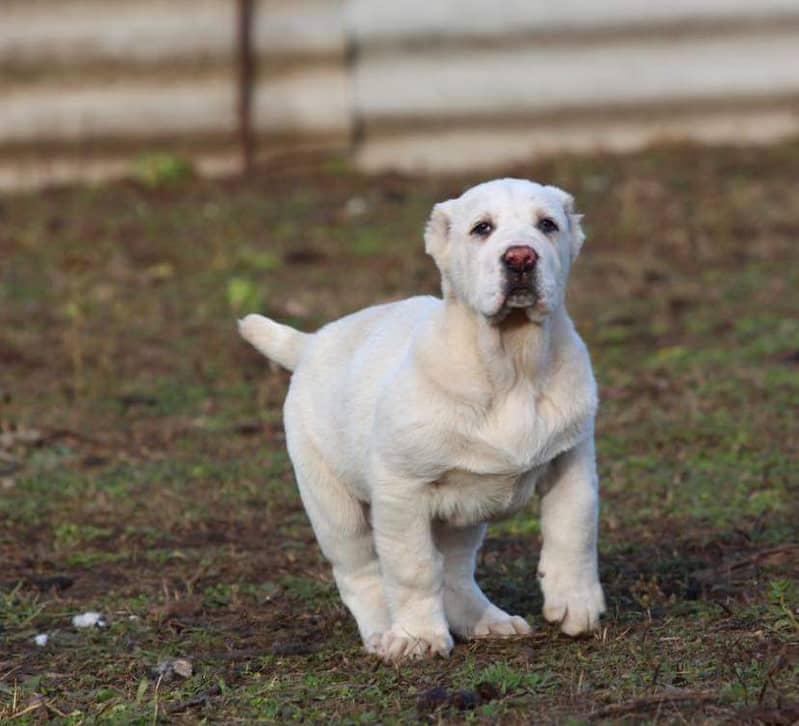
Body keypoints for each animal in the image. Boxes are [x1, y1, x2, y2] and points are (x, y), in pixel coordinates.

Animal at [238, 179, 608, 664]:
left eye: (547, 225)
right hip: (332, 505)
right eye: (481, 229)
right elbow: (411, 569)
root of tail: (312, 342)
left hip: (464, 514)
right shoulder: (402, 491)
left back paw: (485, 620)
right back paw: (383, 631)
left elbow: (574, 530)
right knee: (360, 571)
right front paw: (418, 636)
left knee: (455, 568)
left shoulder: (572, 461)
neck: (511, 364)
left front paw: (575, 603)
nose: (521, 258)